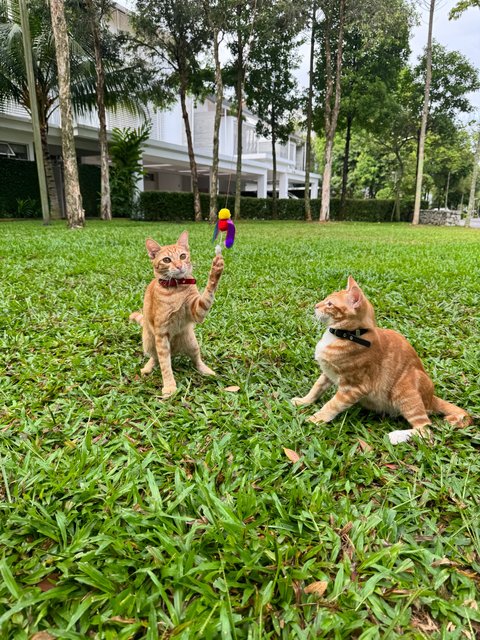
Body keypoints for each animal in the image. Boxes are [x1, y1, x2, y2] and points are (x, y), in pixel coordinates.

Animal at [128, 232, 224, 398]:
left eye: (183, 256)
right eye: (167, 260)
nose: (179, 266)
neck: (176, 289)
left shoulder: (197, 311)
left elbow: (208, 293)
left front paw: (216, 271)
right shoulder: (161, 334)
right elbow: (165, 365)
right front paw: (169, 386)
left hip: (192, 343)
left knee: (196, 359)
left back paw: (205, 370)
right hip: (149, 341)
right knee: (155, 357)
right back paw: (148, 367)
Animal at [290, 276, 470, 444]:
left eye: (329, 304)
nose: (316, 306)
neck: (349, 335)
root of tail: (432, 398)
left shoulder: (354, 387)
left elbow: (332, 405)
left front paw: (316, 418)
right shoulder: (327, 374)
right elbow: (316, 388)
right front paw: (303, 401)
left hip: (404, 390)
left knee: (426, 429)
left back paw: (396, 436)